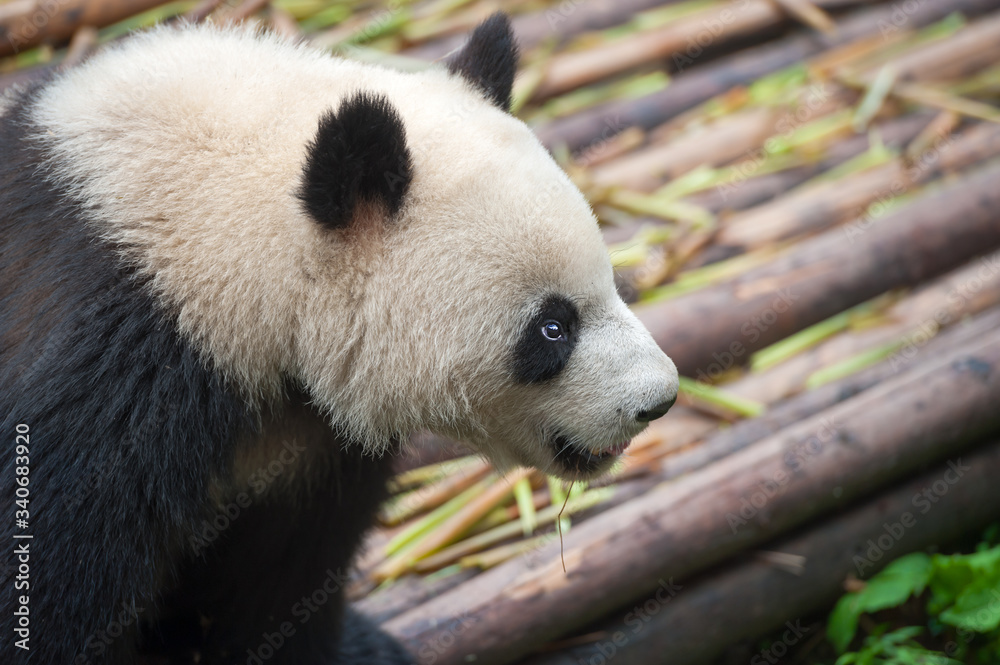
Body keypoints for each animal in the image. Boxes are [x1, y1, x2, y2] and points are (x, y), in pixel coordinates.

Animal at [0, 13, 678, 665]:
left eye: (610, 281)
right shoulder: (110, 369)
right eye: (552, 327)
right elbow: (52, 573)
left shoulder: (312, 437)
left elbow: (286, 571)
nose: (658, 399)